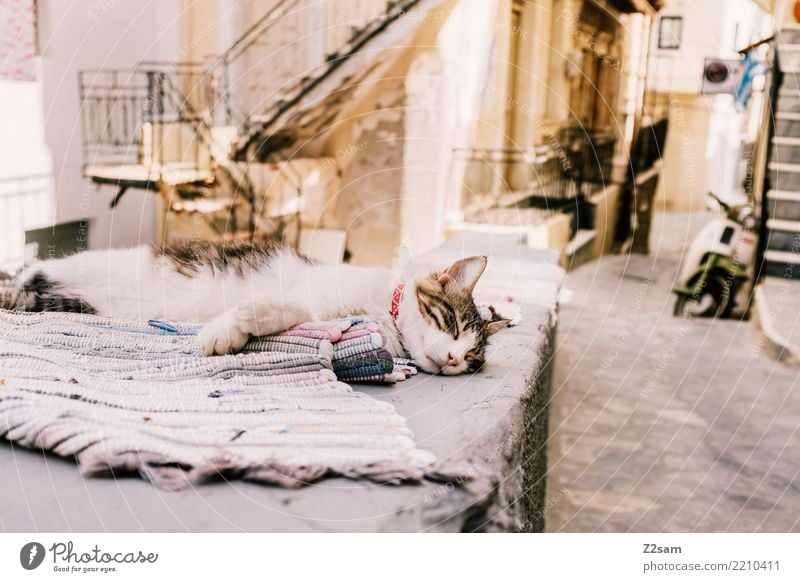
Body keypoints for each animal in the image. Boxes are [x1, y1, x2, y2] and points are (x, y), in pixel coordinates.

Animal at [0, 241, 510, 374]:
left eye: (472, 358)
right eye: (451, 323)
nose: (452, 358)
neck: (381, 313)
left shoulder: (319, 313)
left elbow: (295, 314)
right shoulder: (309, 293)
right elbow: (280, 306)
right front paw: (226, 329)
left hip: (65, 301)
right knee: (24, 272)